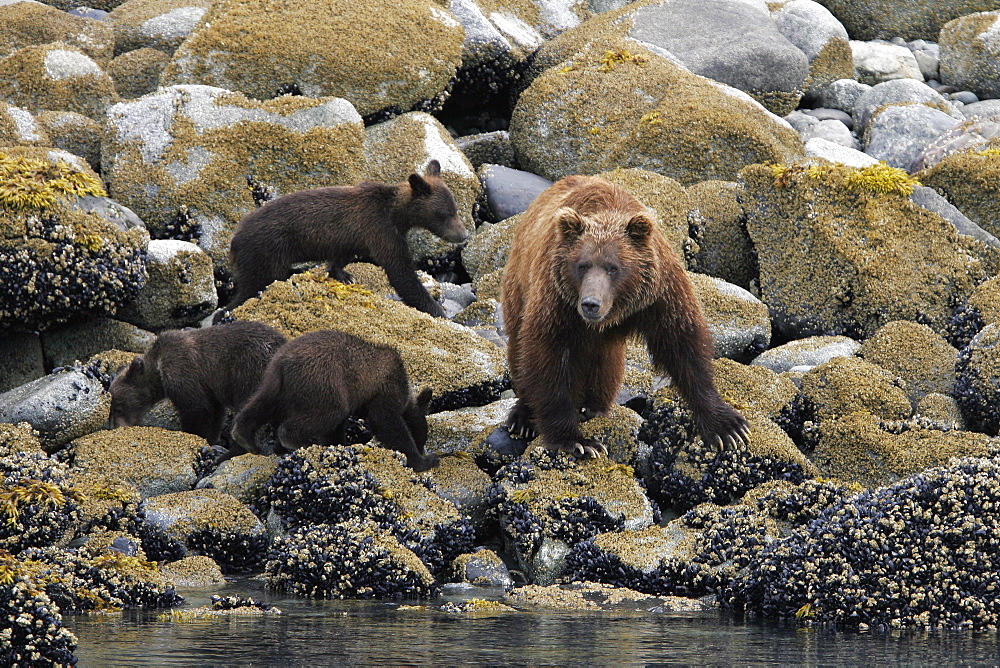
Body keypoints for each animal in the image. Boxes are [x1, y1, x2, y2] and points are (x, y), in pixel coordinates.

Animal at [220, 160, 468, 320]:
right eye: (444, 214)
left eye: (455, 209)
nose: (464, 235)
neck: (396, 214)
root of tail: (234, 240)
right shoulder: (380, 229)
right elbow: (400, 270)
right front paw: (436, 309)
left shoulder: (353, 237)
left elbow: (341, 256)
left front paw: (343, 274)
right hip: (263, 253)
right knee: (249, 287)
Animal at [234, 332, 442, 472]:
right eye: (422, 439)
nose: (423, 449)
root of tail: (284, 363)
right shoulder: (386, 388)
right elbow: (387, 422)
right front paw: (424, 461)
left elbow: (335, 430)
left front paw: (338, 445)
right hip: (324, 382)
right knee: (327, 414)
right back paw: (295, 441)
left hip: (274, 381)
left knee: (260, 404)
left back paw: (245, 437)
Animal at [500, 176, 752, 460]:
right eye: (582, 265)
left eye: (613, 268)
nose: (590, 304)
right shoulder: (558, 302)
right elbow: (549, 357)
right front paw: (576, 441)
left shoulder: (659, 295)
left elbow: (683, 347)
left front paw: (727, 427)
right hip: (519, 286)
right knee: (519, 349)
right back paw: (523, 417)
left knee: (605, 361)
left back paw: (592, 406)